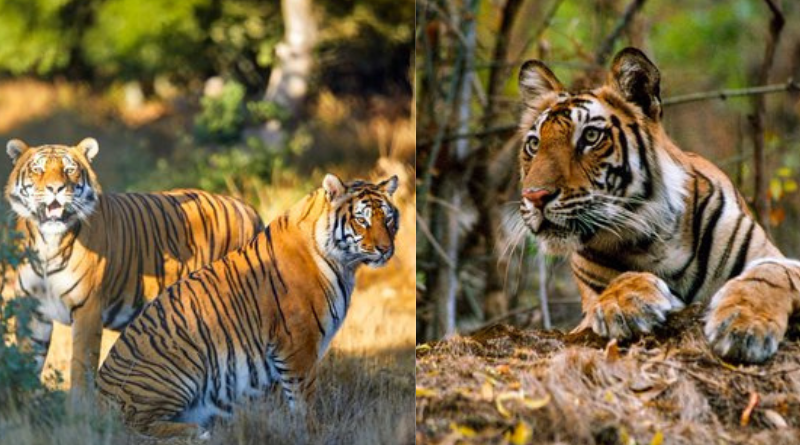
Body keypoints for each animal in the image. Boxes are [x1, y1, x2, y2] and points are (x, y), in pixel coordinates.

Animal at [4, 137, 263, 400]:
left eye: (69, 170)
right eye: (38, 169)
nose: (55, 188)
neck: (48, 243)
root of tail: (247, 207)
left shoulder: (88, 309)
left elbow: (81, 370)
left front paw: (78, 409)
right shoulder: (33, 309)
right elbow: (28, 362)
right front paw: (23, 402)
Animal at [96, 173, 399, 438]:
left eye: (388, 219)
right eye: (361, 220)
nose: (386, 250)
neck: (344, 264)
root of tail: (98, 394)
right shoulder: (298, 344)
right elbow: (303, 398)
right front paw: (313, 432)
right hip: (178, 366)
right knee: (133, 425)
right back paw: (198, 432)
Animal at [516, 47, 800, 364]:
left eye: (590, 137)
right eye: (534, 144)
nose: (535, 196)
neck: (655, 239)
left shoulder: (777, 259)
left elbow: (768, 276)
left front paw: (744, 326)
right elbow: (619, 280)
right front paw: (625, 304)